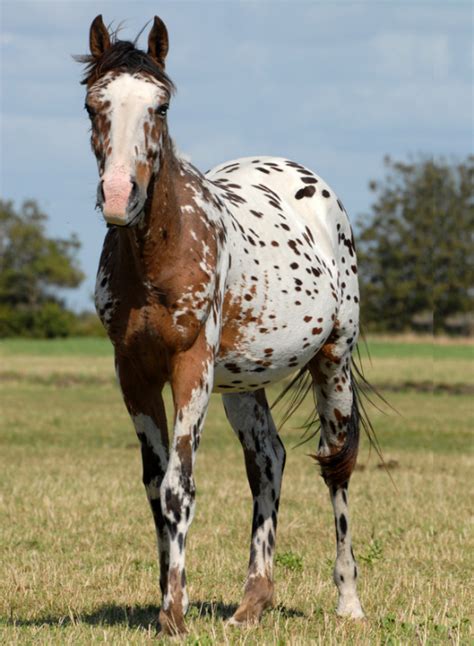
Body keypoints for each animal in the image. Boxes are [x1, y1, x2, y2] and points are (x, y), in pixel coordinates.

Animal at [78, 15, 366, 636]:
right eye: (93, 104)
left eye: (160, 105)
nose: (119, 196)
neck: (158, 252)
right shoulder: (133, 372)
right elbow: (154, 483)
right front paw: (169, 600)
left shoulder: (192, 366)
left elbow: (178, 485)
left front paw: (175, 614)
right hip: (243, 381)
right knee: (268, 461)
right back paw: (252, 602)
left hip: (333, 362)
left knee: (337, 468)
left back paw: (349, 602)